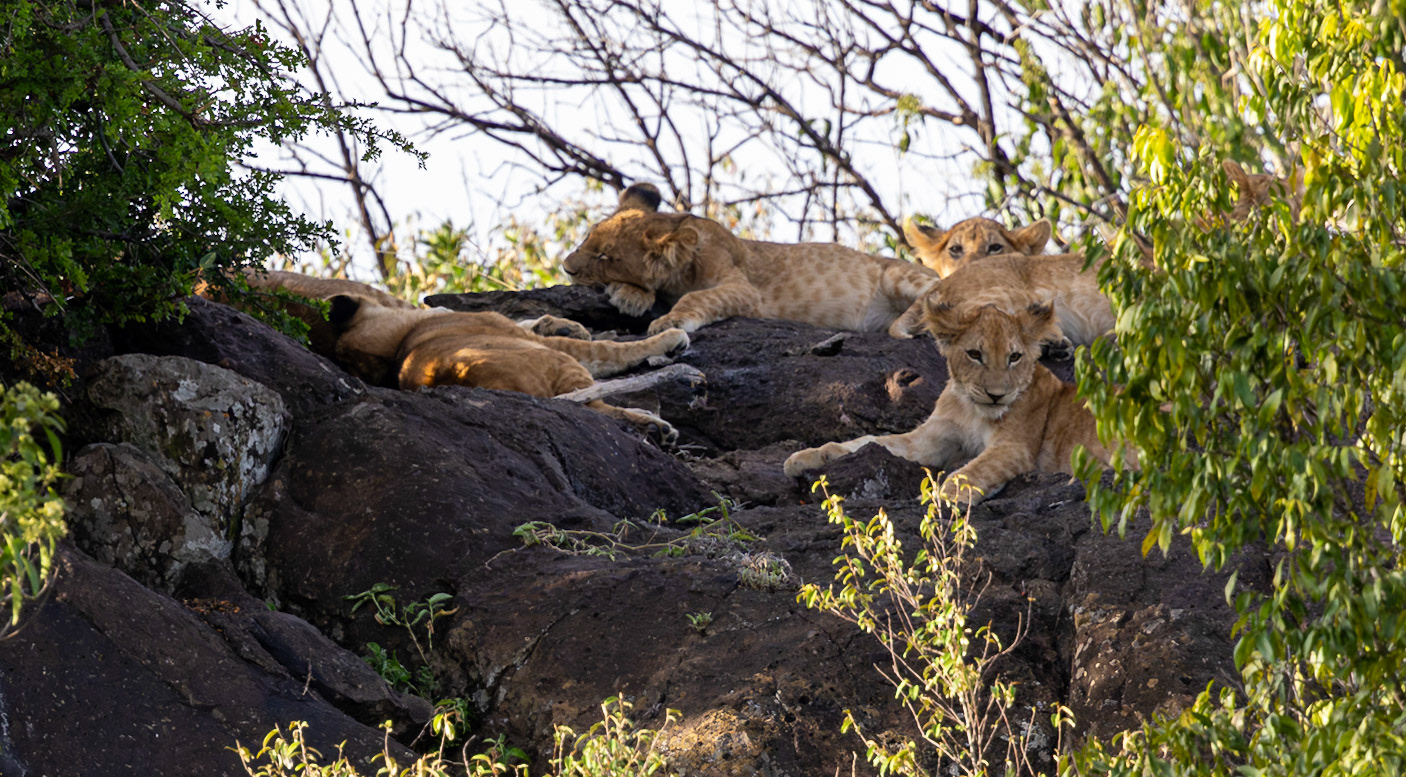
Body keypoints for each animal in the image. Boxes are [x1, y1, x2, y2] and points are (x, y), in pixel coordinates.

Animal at [327, 294, 689, 440]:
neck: (399, 340)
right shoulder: (538, 342)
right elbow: (611, 349)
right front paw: (670, 338)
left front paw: (563, 323)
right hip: (557, 363)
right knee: (594, 407)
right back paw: (657, 427)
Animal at [562, 184, 939, 337]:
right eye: (587, 238)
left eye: (605, 256)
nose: (565, 268)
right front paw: (631, 296)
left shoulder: (745, 290)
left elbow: (698, 297)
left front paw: (669, 321)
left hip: (896, 275)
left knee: (937, 288)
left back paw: (906, 324)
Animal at [784, 302, 1133, 505]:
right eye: (975, 354)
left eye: (1015, 357)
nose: (996, 394)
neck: (972, 409)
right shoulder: (928, 440)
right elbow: (869, 441)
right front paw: (807, 456)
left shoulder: (1014, 448)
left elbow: (970, 471)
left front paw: (945, 498)